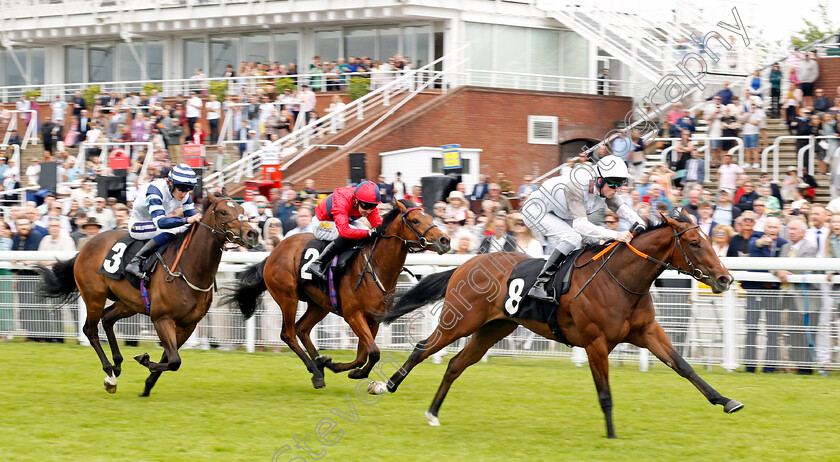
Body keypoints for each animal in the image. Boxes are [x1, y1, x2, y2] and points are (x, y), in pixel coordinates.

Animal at [39, 189, 256, 396]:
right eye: (223, 212)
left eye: (242, 210)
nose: (252, 233)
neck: (189, 269)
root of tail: (85, 247)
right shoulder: (161, 318)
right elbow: (174, 361)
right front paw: (143, 360)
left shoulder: (188, 324)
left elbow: (170, 358)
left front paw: (147, 385)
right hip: (94, 297)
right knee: (90, 330)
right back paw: (110, 374)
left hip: (128, 303)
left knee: (107, 319)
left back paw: (117, 364)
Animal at [221, 198, 446, 386]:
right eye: (416, 220)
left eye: (430, 218)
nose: (445, 240)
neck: (375, 266)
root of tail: (273, 252)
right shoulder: (353, 315)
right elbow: (373, 352)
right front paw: (347, 369)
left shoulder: (374, 318)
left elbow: (363, 355)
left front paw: (345, 368)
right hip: (287, 297)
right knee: (289, 334)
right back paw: (316, 371)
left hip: (319, 304)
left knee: (302, 329)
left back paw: (320, 364)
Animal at [370, 209, 744, 436]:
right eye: (694, 243)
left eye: (709, 239)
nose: (725, 279)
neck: (621, 279)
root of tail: (467, 263)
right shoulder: (595, 344)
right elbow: (605, 394)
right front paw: (612, 435)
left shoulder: (647, 333)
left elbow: (684, 366)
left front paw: (727, 401)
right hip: (459, 321)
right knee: (422, 349)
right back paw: (384, 386)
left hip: (493, 328)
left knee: (456, 364)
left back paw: (433, 412)